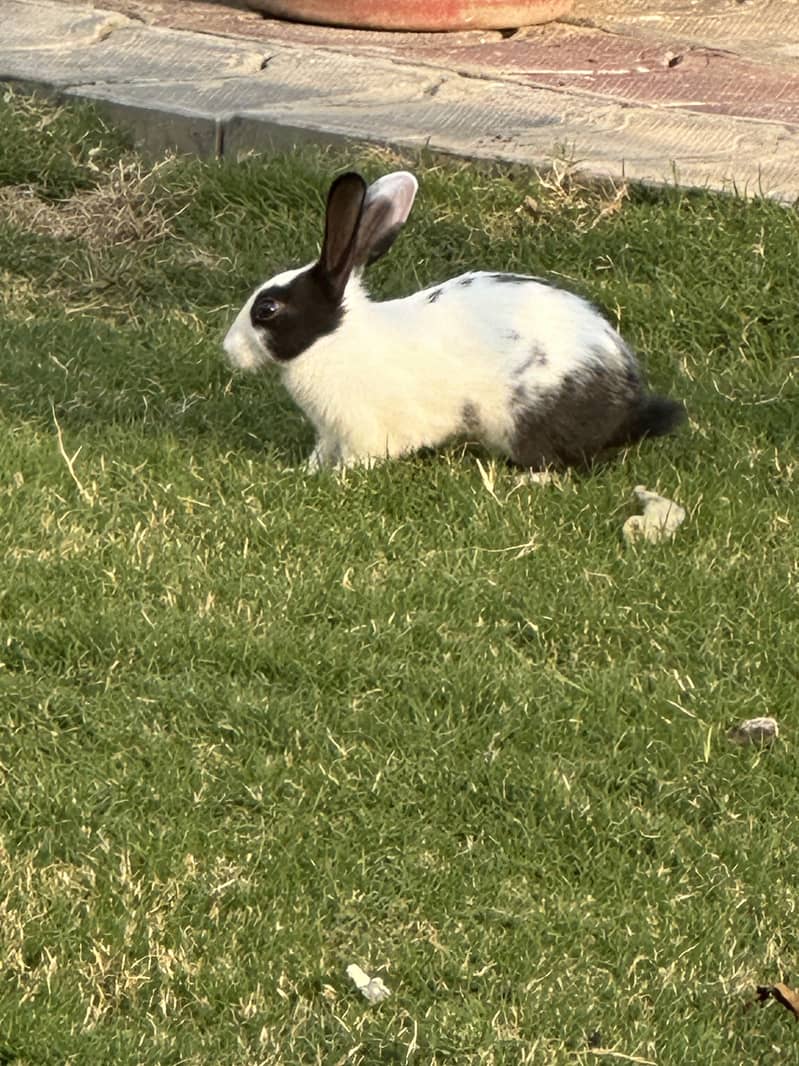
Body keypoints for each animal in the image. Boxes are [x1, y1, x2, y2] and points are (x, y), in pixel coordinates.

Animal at [223, 169, 684, 472]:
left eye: (267, 310)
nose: (228, 350)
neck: (334, 339)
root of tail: (628, 406)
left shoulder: (360, 431)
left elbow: (356, 460)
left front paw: (337, 480)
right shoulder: (329, 432)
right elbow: (320, 454)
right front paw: (305, 473)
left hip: (526, 418)